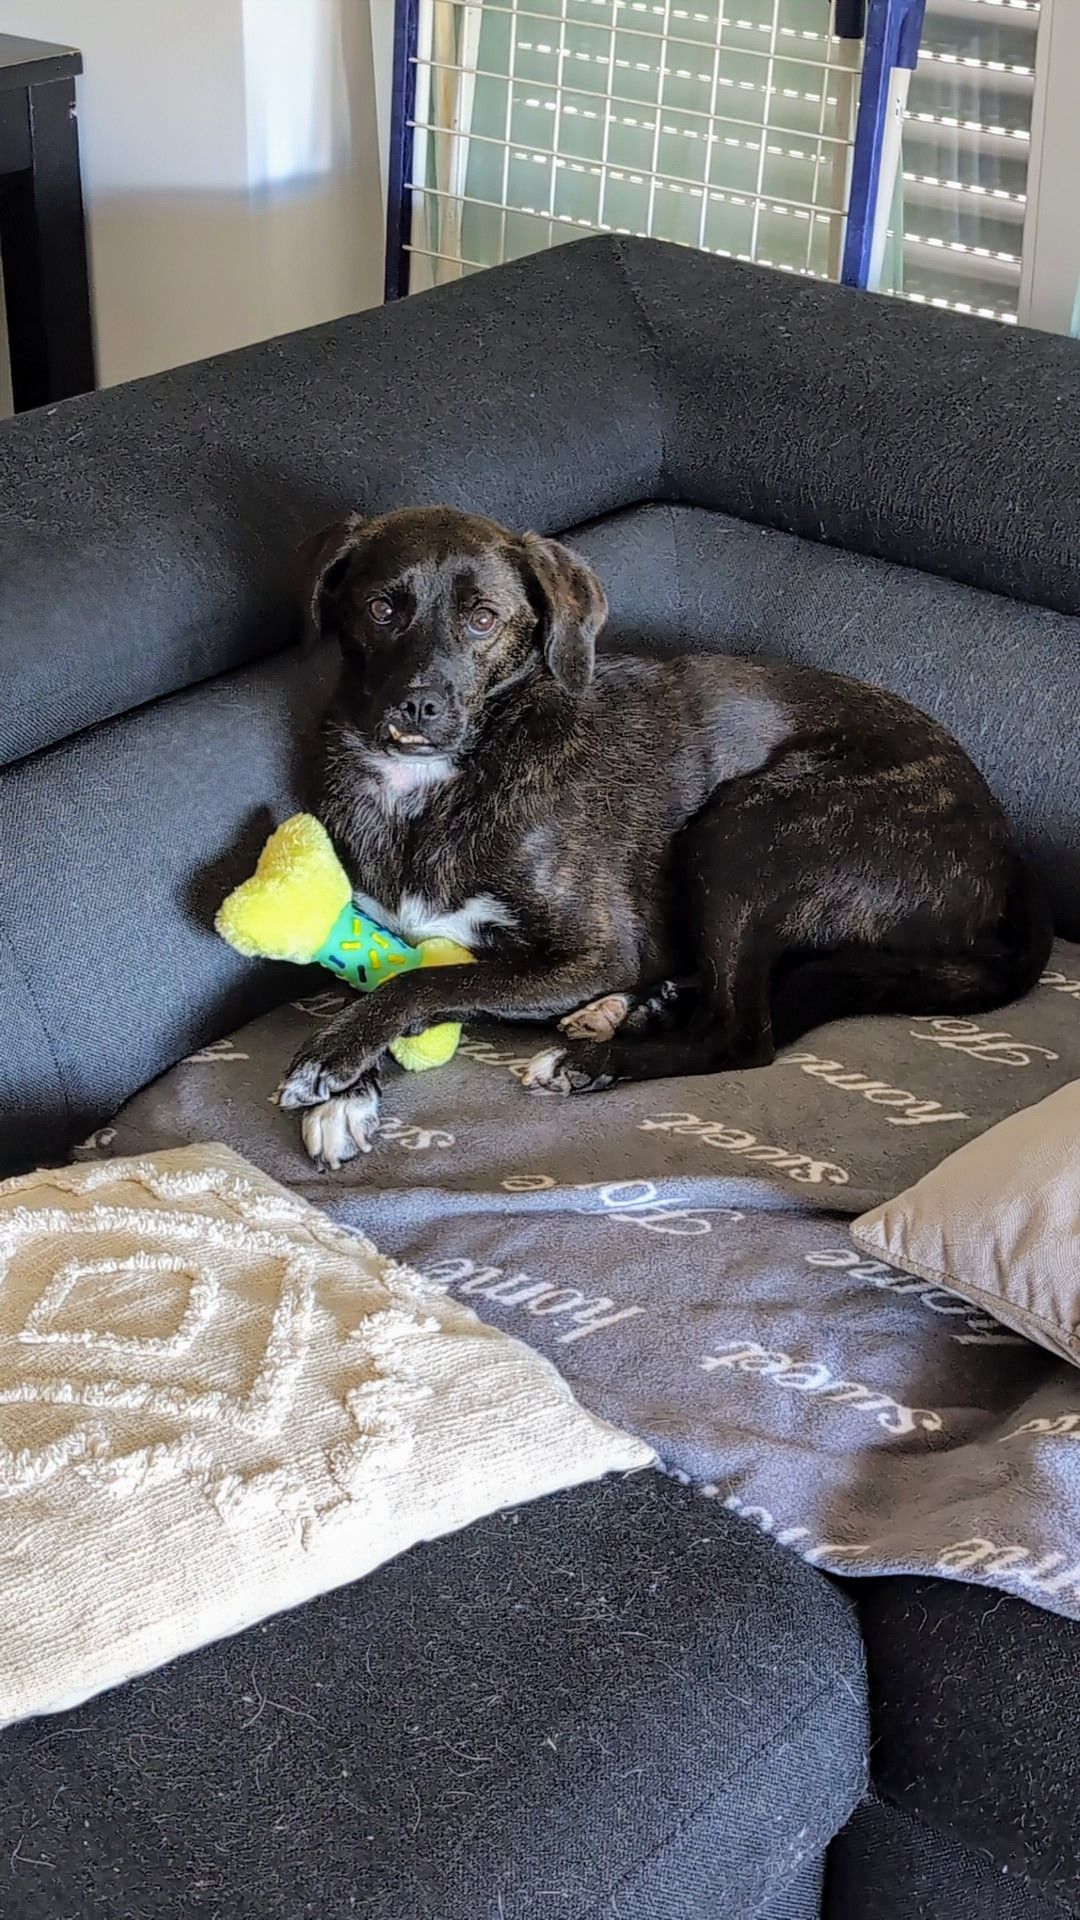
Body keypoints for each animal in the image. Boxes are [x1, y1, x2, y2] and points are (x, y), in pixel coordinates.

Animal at [280, 505, 1052, 1170]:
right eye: (382, 609)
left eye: (483, 618)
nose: (419, 706)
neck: (433, 785)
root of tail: (1008, 856)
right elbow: (391, 970)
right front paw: (347, 1095)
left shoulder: (598, 952)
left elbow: (428, 979)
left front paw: (332, 1058)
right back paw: (637, 1009)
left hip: (749, 830)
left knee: (745, 1033)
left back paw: (592, 1060)